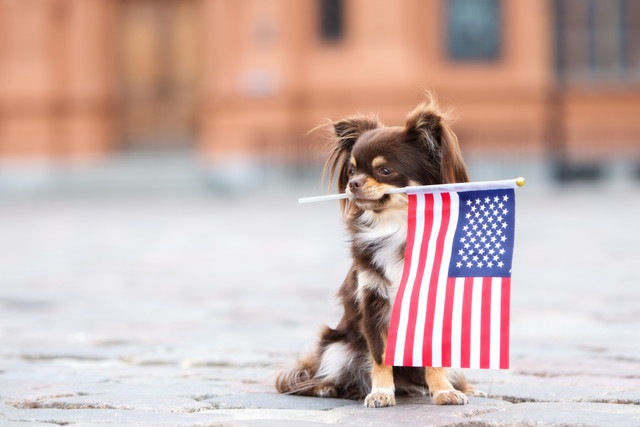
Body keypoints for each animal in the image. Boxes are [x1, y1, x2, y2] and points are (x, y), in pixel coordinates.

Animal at [278, 96, 478, 408]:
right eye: (351, 171)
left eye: (385, 171)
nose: (353, 183)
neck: (397, 226)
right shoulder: (373, 304)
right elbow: (380, 356)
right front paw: (381, 392)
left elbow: (433, 359)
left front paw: (444, 391)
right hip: (338, 346)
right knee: (326, 372)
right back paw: (327, 387)